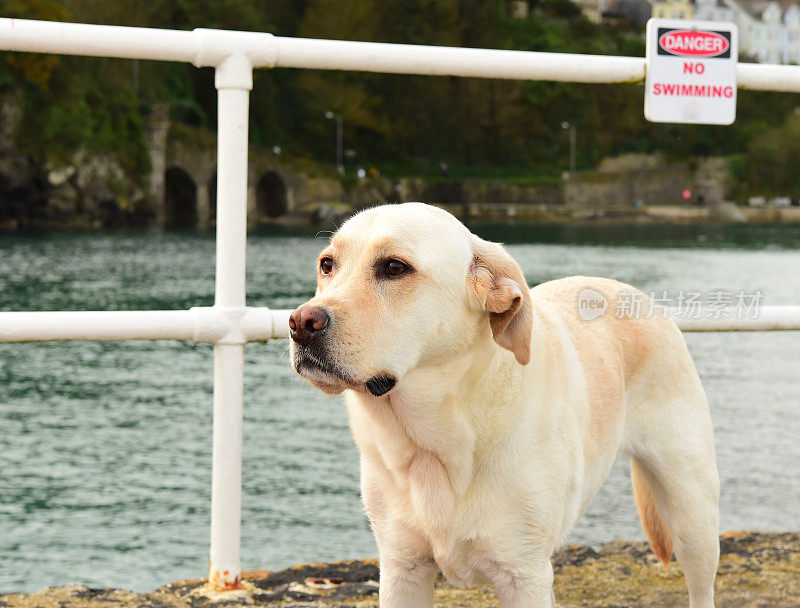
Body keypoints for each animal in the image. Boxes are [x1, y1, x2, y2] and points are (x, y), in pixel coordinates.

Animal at [290, 204, 720, 608]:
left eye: (394, 267)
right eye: (327, 264)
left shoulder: (523, 574)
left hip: (692, 514)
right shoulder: (402, 568)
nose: (301, 322)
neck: (434, 443)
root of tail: (634, 293)